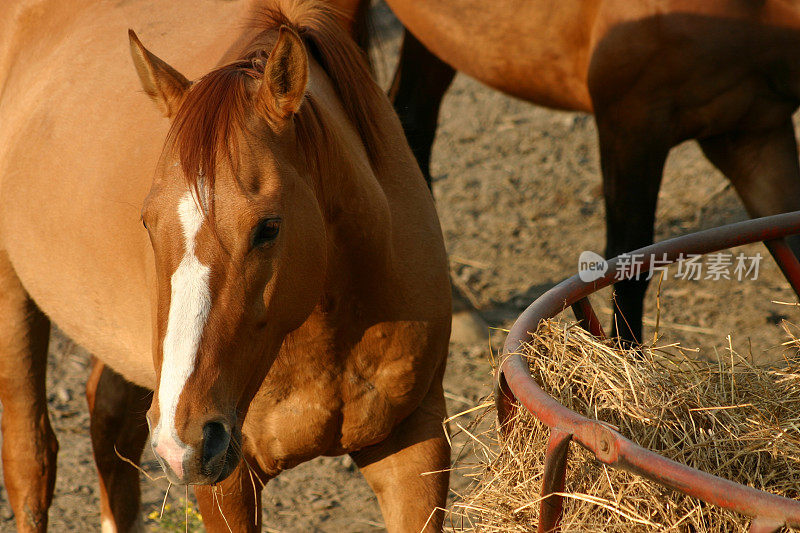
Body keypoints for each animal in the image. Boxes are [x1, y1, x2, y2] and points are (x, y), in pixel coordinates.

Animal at [0, 0, 450, 528]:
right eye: (148, 222)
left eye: (268, 228)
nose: (183, 440)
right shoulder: (227, 483)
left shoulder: (415, 445)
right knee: (31, 461)